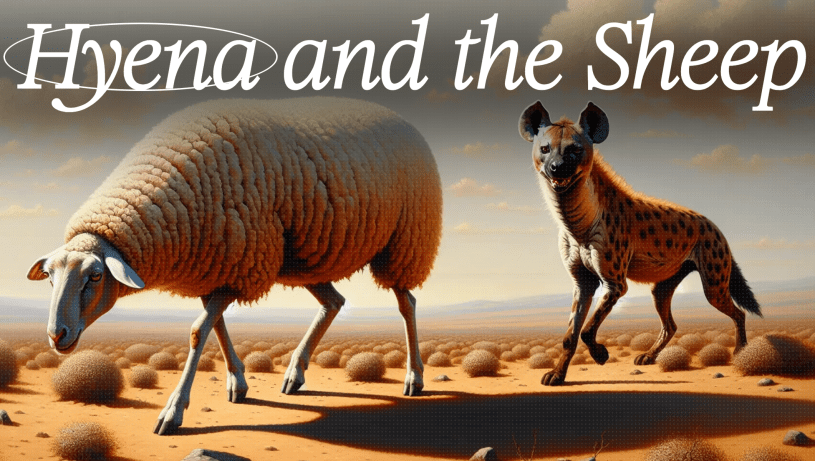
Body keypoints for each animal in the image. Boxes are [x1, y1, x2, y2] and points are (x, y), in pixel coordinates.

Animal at [27, 97, 443, 435]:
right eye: (48, 278)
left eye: (95, 276)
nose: (56, 335)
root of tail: (403, 120)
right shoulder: (220, 266)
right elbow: (217, 326)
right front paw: (238, 384)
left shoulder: (242, 261)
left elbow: (198, 332)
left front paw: (173, 412)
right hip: (309, 259)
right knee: (334, 302)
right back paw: (295, 372)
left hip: (406, 241)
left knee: (407, 303)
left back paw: (414, 377)